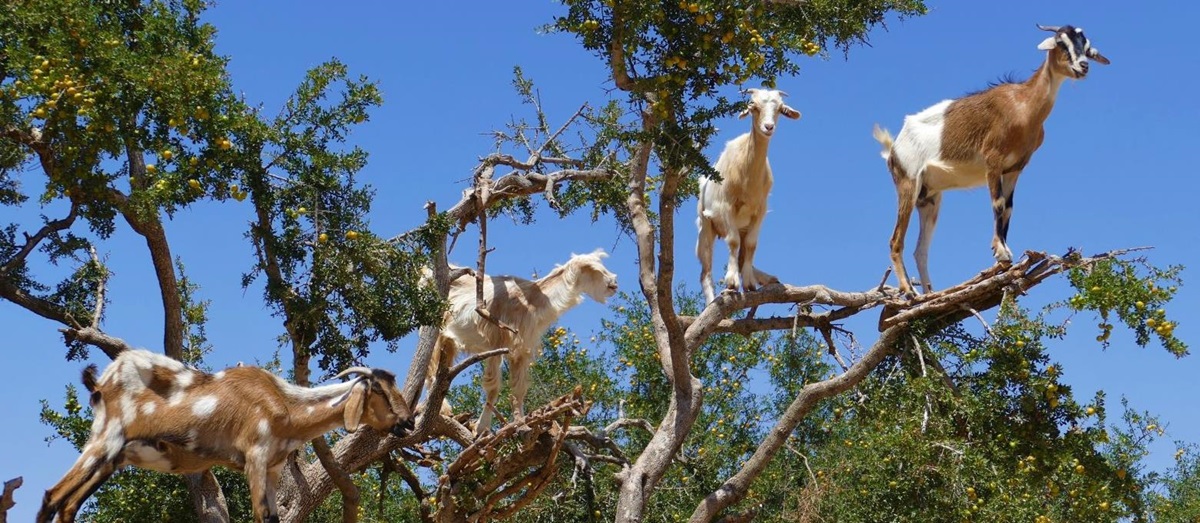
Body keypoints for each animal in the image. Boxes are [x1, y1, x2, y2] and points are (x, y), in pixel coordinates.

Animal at [37, 349, 413, 523]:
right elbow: (261, 515)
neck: (285, 403)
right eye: (378, 390)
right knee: (52, 497)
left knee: (68, 503)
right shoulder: (255, 457)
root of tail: (103, 381)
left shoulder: (274, 468)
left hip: (114, 456)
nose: (408, 422)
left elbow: (274, 517)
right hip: (105, 440)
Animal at [426, 250, 617, 436]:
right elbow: (493, 386)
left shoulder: (522, 350)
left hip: (448, 339)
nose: (614, 283)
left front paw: (522, 426)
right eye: (592, 268)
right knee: (429, 369)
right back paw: (444, 410)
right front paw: (481, 429)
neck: (531, 301)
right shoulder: (497, 344)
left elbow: (519, 389)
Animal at [697, 88, 800, 303]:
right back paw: (711, 300)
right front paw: (732, 282)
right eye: (754, 107)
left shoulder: (759, 211)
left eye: (779, 109)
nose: (768, 127)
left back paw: (764, 277)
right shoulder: (725, 207)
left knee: (743, 254)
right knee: (706, 271)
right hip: (706, 225)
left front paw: (749, 283)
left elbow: (751, 245)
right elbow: (733, 241)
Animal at [873, 25, 1109, 296]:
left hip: (929, 198)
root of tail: (893, 149)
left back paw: (930, 294)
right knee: (895, 240)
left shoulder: (1015, 168)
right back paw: (909, 292)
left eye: (1086, 46)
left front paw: (1006, 255)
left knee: (920, 250)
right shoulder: (992, 161)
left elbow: (1009, 208)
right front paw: (1001, 253)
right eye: (1061, 42)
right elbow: (997, 204)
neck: (1023, 106)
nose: (1083, 66)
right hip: (908, 184)